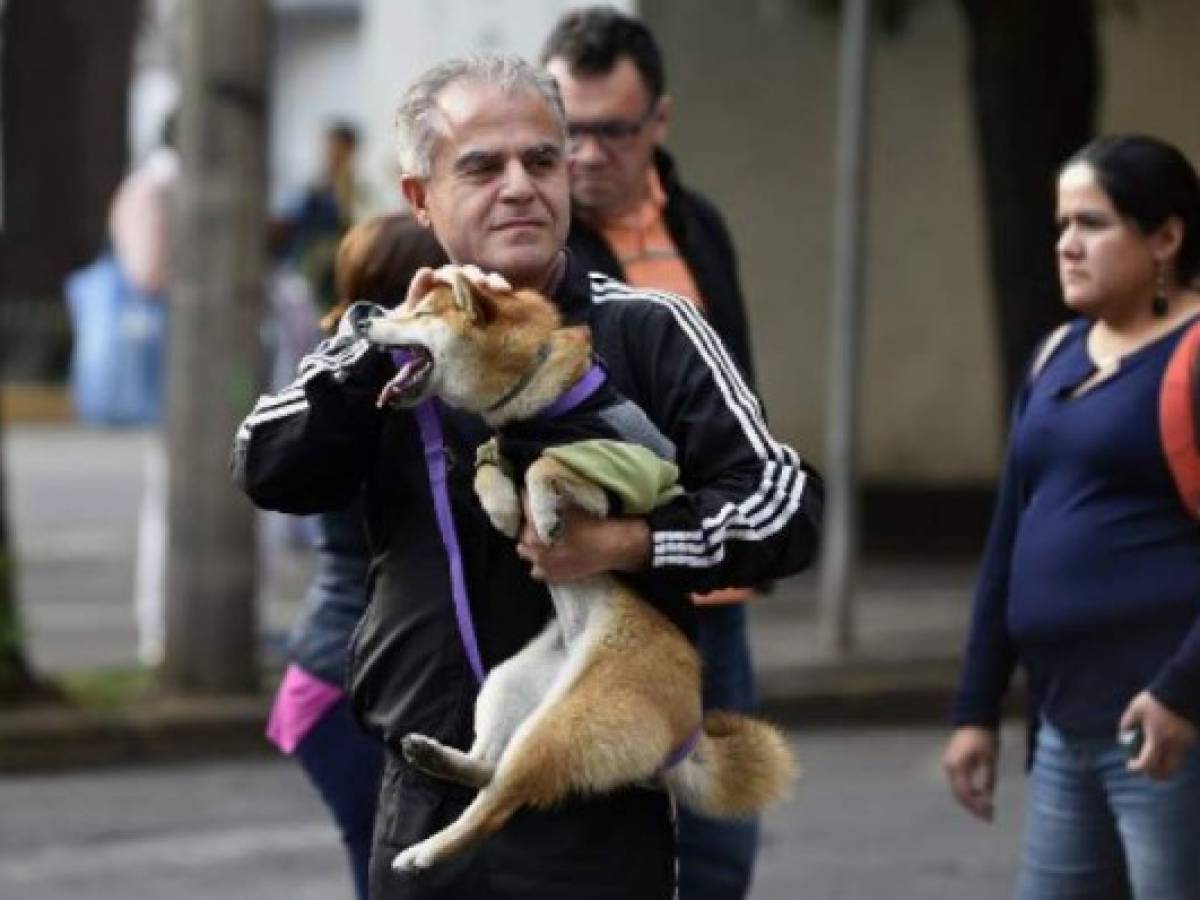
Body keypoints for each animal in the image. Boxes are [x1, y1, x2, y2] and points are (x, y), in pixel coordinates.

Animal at [357, 273, 796, 873]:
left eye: (419, 313)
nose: (361, 317)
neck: (539, 405)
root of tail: (683, 733)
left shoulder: (638, 475)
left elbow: (551, 464)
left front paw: (541, 513)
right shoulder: (504, 445)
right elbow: (491, 466)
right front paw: (503, 509)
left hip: (566, 724)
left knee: (498, 803)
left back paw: (426, 851)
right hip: (509, 683)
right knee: (491, 771)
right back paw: (438, 760)